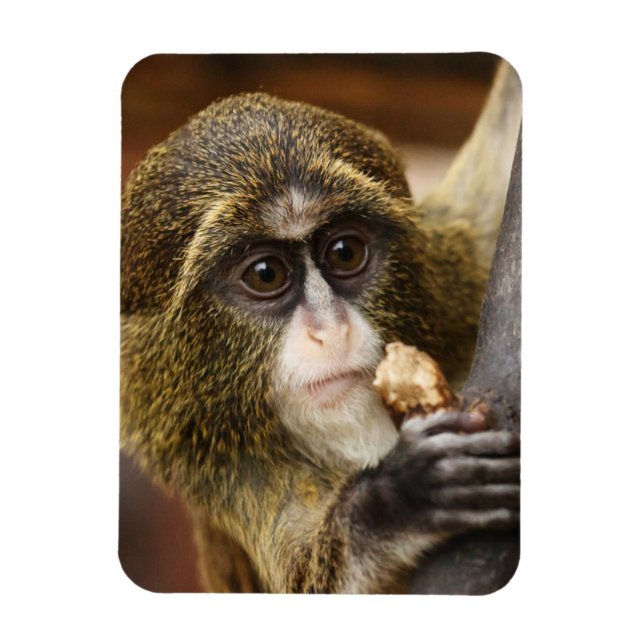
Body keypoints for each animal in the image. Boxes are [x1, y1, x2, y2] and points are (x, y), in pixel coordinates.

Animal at [121, 61, 522, 593]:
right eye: (265, 274)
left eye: (344, 253)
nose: (330, 331)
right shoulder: (227, 471)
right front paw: (399, 498)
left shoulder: (455, 271)